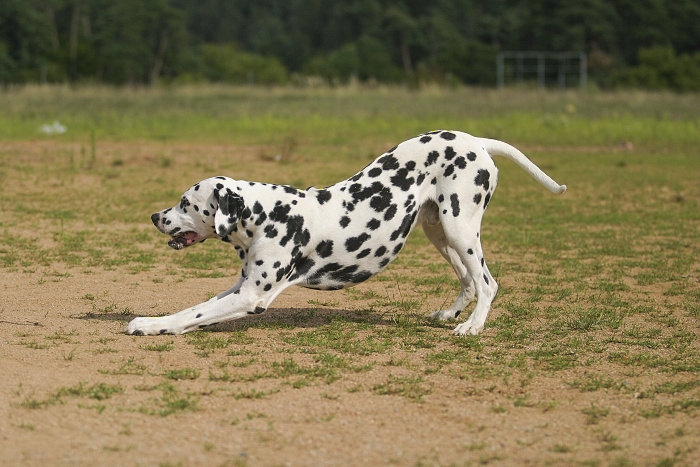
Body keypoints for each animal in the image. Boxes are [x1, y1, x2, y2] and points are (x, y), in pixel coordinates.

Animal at [127, 131, 564, 336]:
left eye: (185, 202)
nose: (154, 216)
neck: (269, 213)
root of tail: (476, 140)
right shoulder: (239, 288)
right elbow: (192, 309)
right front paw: (151, 319)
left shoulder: (251, 296)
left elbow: (194, 314)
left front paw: (150, 327)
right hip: (439, 232)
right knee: (469, 280)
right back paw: (451, 314)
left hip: (460, 229)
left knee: (487, 282)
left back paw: (471, 326)